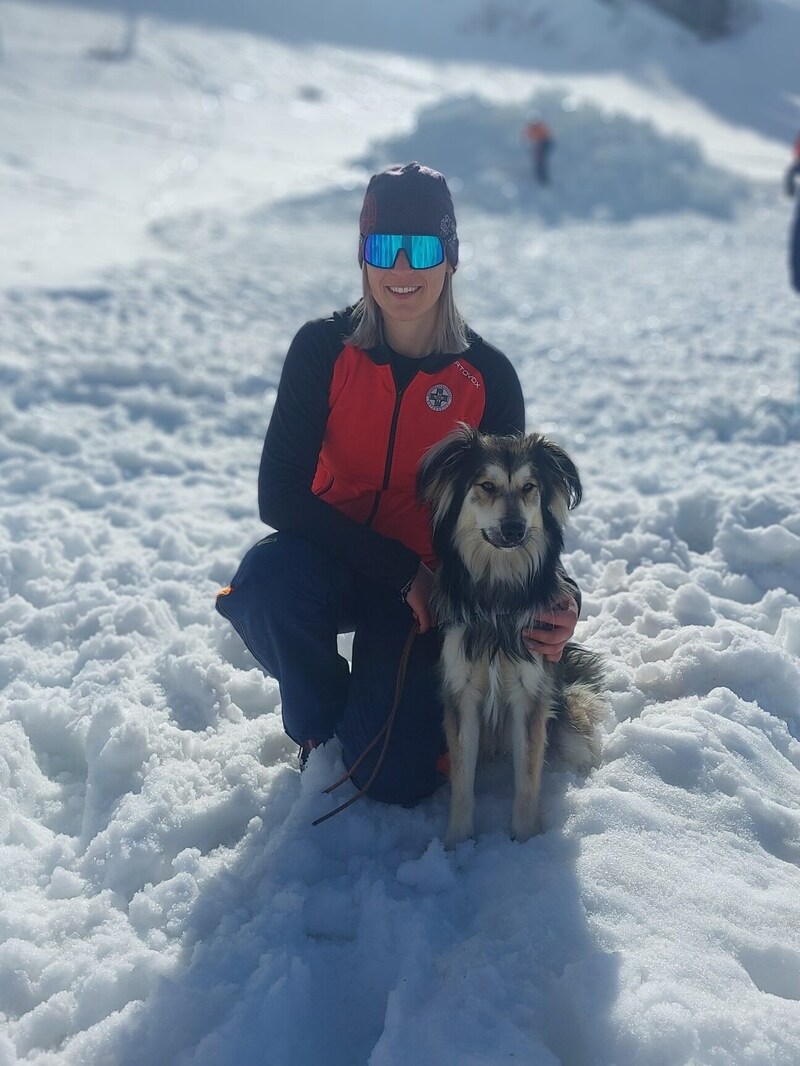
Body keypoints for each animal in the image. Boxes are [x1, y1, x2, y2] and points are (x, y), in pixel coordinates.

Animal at [420, 420, 605, 844]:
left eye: (528, 487)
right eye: (486, 485)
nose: (514, 529)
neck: (497, 597)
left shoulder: (530, 693)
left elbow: (527, 778)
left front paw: (524, 842)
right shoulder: (461, 692)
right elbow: (462, 779)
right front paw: (457, 843)